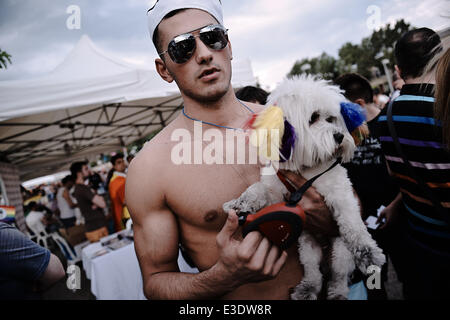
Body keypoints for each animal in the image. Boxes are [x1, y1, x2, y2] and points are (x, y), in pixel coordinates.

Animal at [223, 75, 384, 300]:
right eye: (313, 118)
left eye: (331, 118)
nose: (339, 136)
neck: (307, 171)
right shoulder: (275, 190)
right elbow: (257, 189)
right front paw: (240, 203)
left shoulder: (340, 194)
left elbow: (353, 225)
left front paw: (368, 253)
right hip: (307, 248)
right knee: (313, 272)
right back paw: (307, 289)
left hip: (341, 251)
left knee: (339, 275)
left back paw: (337, 292)